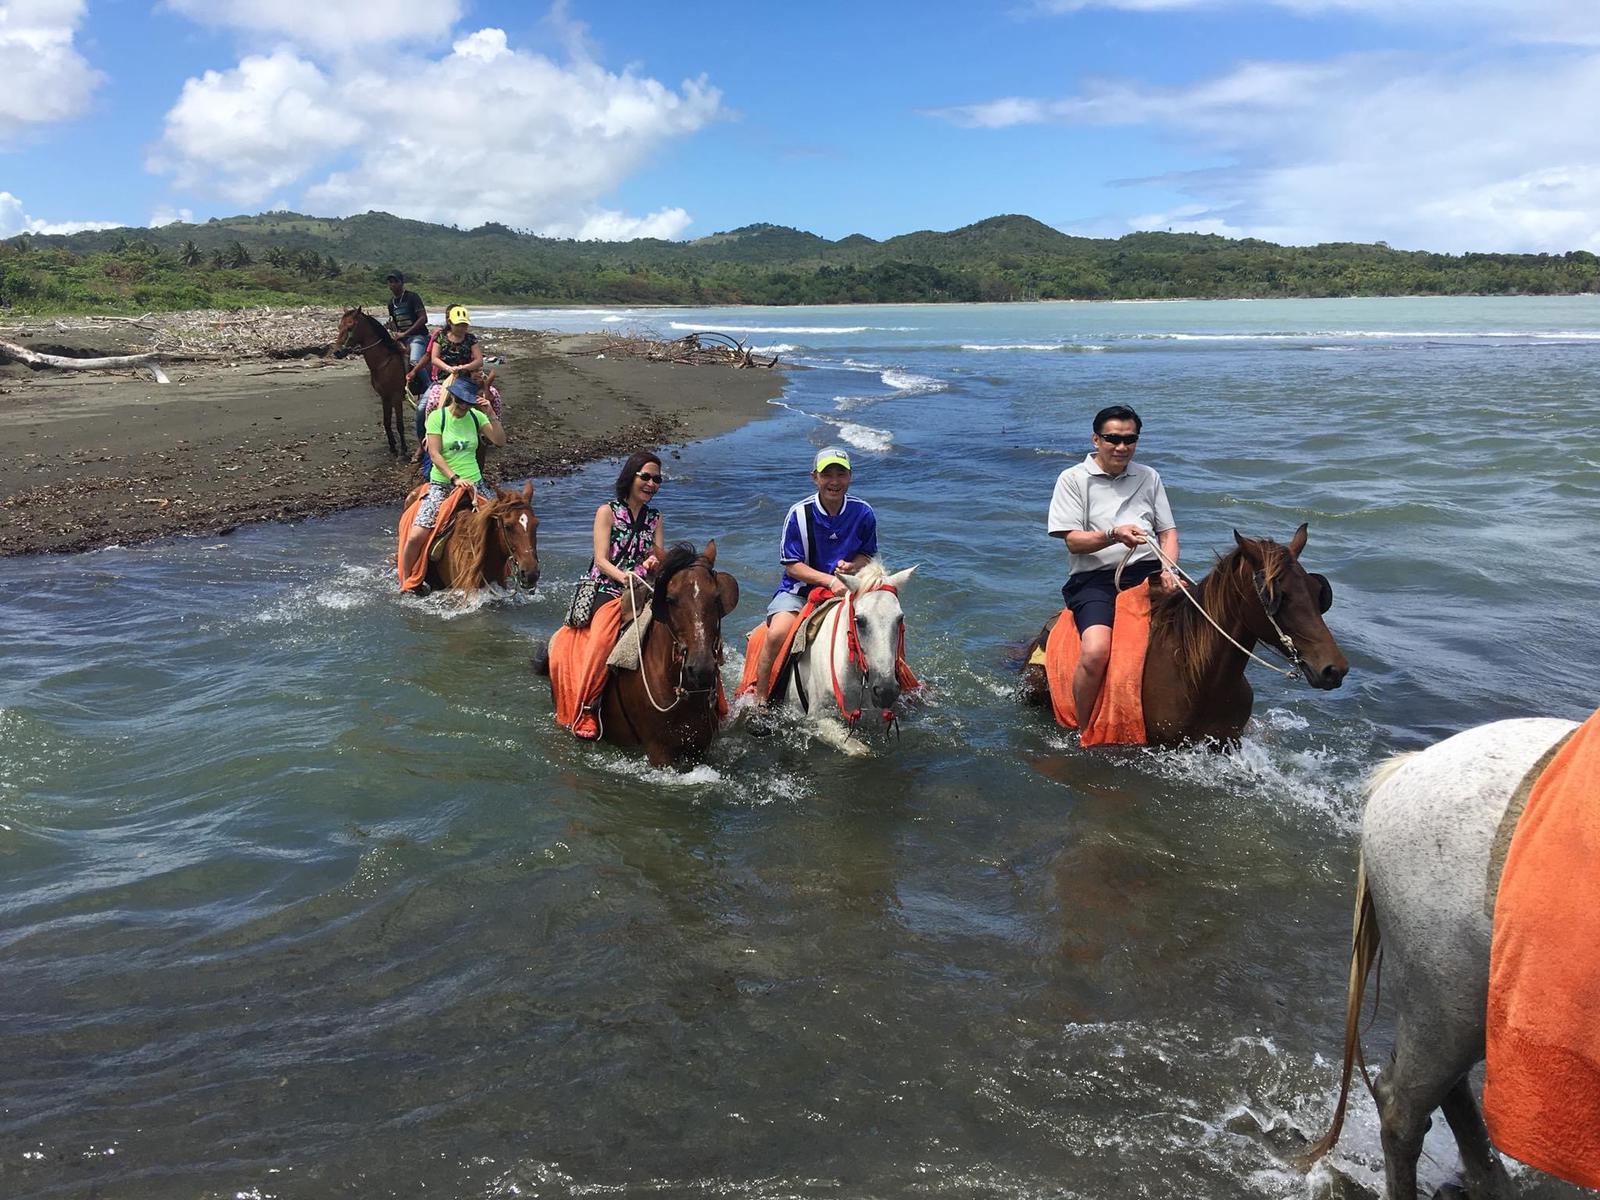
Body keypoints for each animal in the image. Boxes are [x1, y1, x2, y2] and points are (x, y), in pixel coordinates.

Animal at [329, 307, 406, 457]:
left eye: (350, 327)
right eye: (339, 327)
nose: (337, 352)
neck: (384, 363)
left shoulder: (396, 396)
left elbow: (400, 424)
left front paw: (404, 450)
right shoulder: (385, 397)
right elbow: (387, 422)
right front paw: (393, 447)